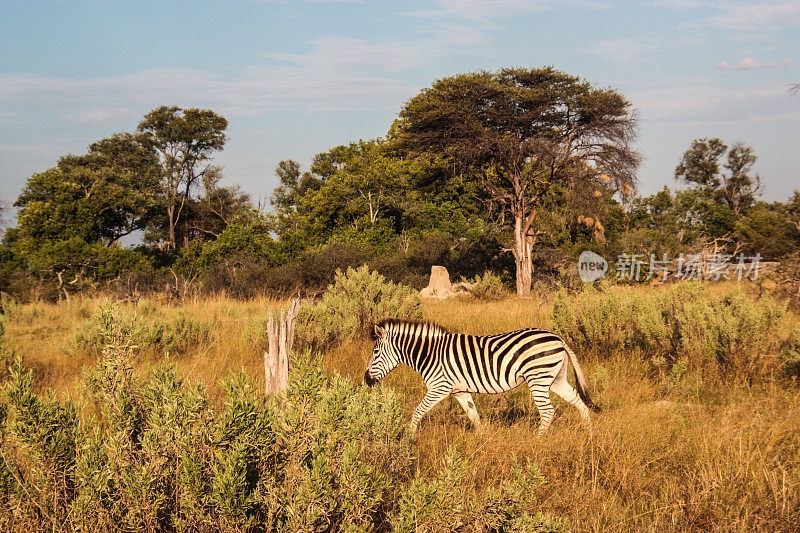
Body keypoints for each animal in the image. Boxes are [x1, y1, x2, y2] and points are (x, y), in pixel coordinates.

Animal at [366, 318, 596, 434]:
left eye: (375, 352)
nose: (367, 381)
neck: (430, 354)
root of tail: (557, 337)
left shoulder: (439, 387)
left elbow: (417, 412)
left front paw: (409, 439)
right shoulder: (459, 390)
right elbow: (473, 415)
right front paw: (482, 440)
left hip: (538, 377)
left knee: (548, 412)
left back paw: (537, 441)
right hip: (556, 378)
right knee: (578, 400)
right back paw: (587, 433)